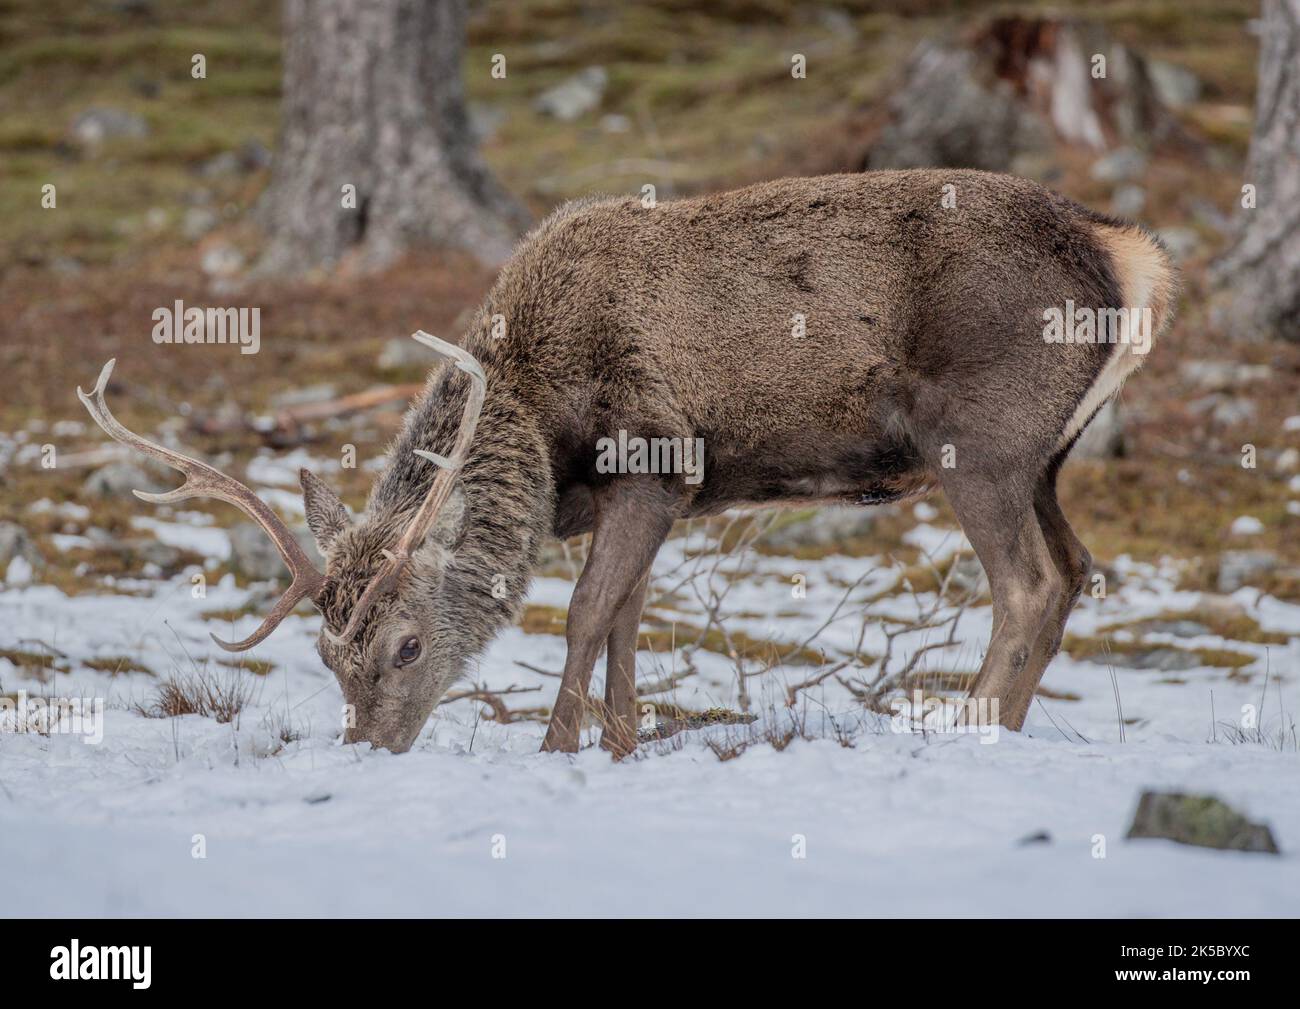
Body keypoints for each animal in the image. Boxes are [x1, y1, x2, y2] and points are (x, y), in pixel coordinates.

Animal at [78, 171, 1180, 759]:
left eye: (403, 644)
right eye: (322, 655)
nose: (369, 747)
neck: (542, 425)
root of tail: (1125, 253)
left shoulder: (655, 460)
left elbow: (581, 615)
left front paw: (556, 747)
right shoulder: (652, 495)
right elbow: (626, 620)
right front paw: (618, 744)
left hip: (979, 442)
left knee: (1026, 583)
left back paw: (964, 727)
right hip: (1046, 456)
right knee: (1074, 571)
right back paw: (1008, 729)